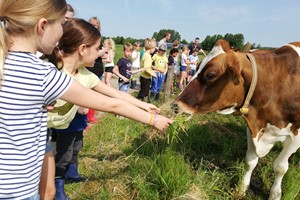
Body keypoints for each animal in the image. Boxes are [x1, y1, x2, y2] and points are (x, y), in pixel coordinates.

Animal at [175, 39, 300, 200]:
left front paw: (275, 194)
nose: (176, 105)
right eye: (197, 67)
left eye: (210, 75)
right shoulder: (252, 129)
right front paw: (241, 189)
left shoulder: (295, 136)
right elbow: (250, 162)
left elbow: (280, 167)